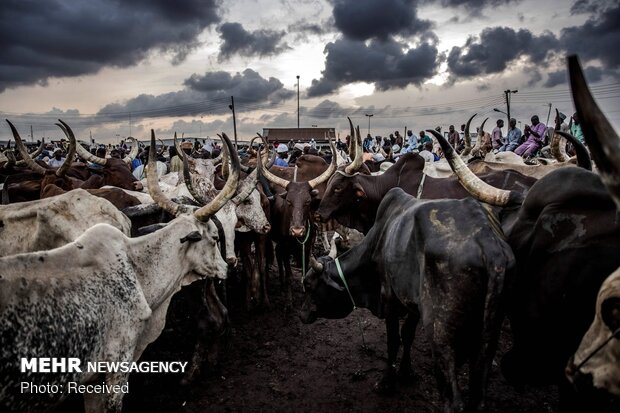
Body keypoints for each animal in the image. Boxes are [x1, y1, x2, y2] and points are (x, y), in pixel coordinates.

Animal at [300, 187, 512, 412]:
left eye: (309, 285)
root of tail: (490, 247)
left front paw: (387, 382)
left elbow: (393, 341)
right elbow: (407, 335)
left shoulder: (389, 299)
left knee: (452, 399)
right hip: (488, 336)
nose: (301, 314)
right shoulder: (413, 306)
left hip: (440, 334)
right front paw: (406, 372)